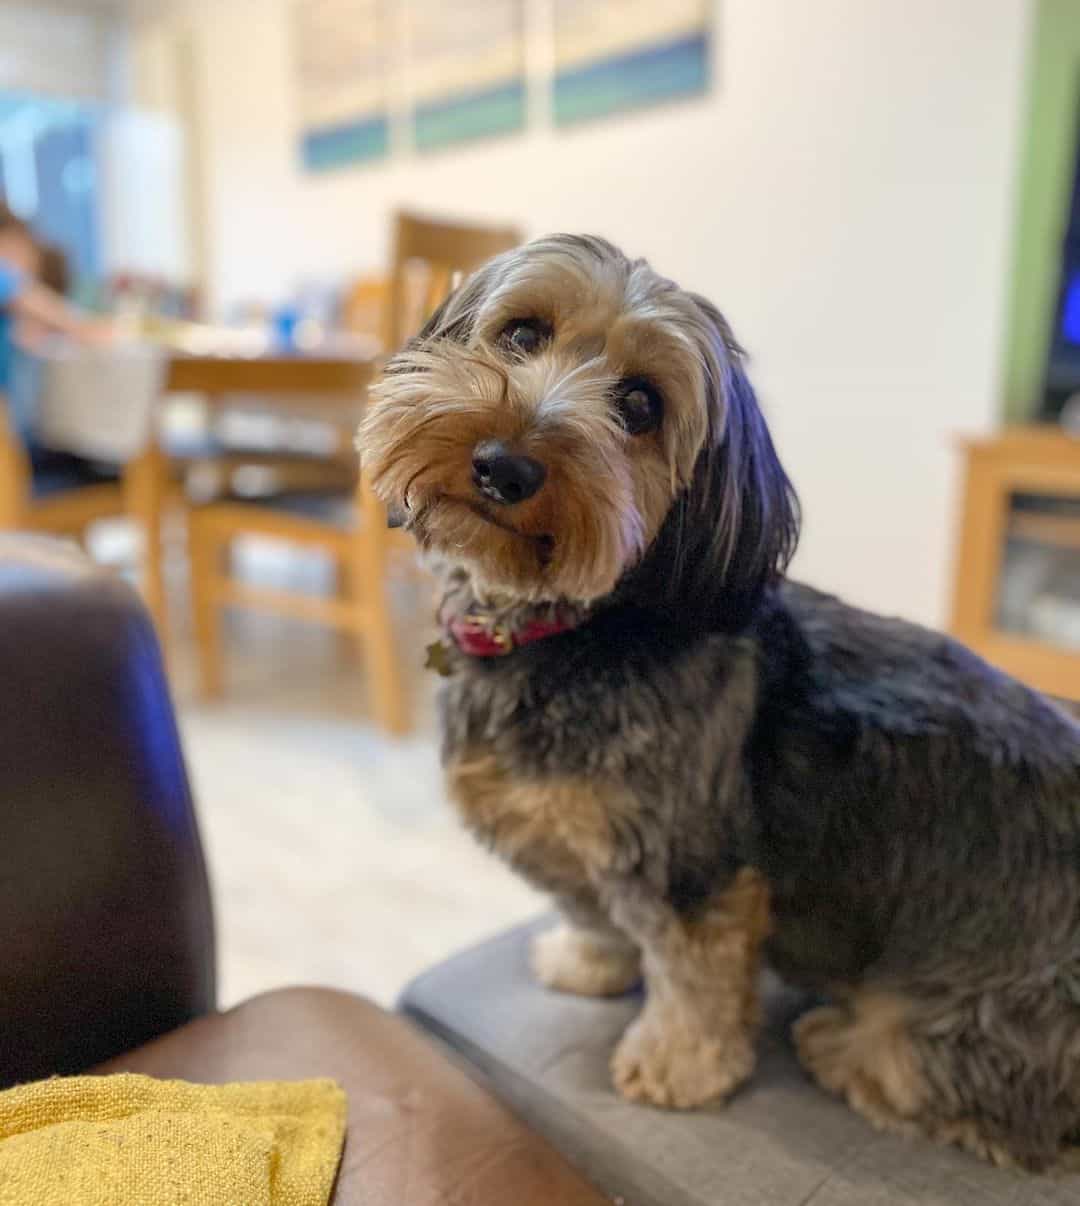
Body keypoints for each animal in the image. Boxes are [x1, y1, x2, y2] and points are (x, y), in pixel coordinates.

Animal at [359, 232, 1080, 1167]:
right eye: (521, 333)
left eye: (640, 404)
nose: (504, 465)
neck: (565, 630)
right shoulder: (570, 842)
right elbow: (593, 910)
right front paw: (590, 962)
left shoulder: (687, 859)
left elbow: (693, 975)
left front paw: (680, 1066)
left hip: (994, 1000)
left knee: (950, 1080)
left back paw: (839, 1042)